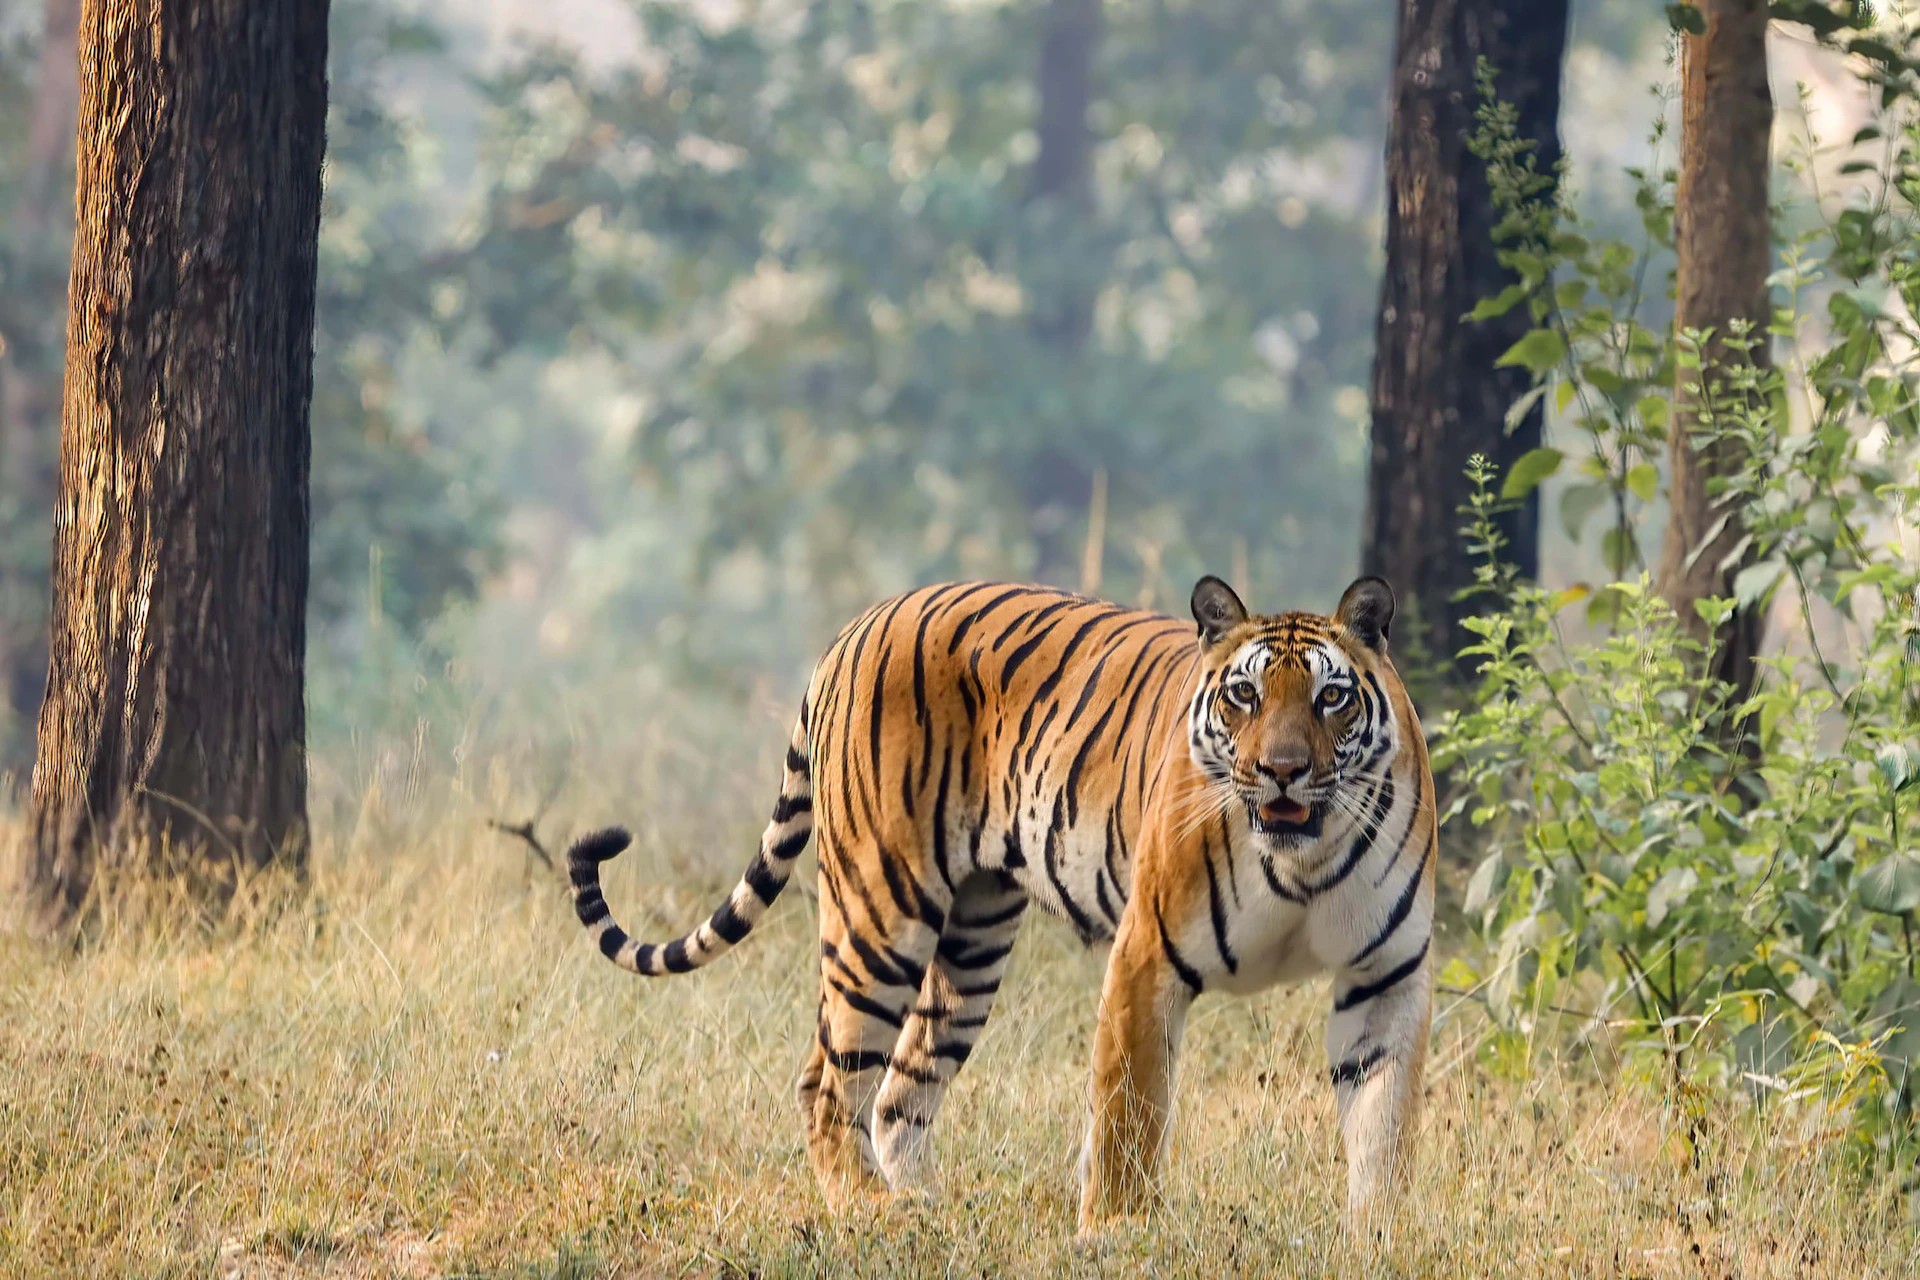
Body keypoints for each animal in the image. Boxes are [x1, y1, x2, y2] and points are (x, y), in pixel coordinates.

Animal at [564, 575, 1436, 1231]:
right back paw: (869, 1211)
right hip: (881, 912)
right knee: (828, 1081)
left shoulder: (1386, 976)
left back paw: (928, 1209)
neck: (1301, 859)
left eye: (1330, 699)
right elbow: (1129, 1115)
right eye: (1245, 696)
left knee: (900, 1091)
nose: (1283, 771)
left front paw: (1376, 1241)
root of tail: (855, 627)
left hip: (973, 940)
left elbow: (1384, 1127)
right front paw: (1118, 1236)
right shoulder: (1147, 957)